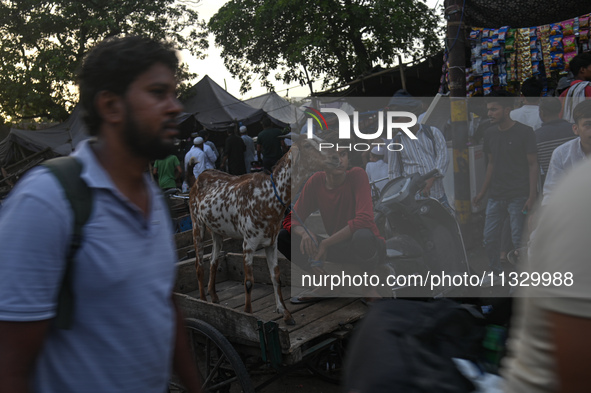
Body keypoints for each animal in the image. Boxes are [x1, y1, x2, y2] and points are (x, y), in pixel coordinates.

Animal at [191, 135, 338, 324]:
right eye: (306, 145)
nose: (336, 157)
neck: (269, 196)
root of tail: (199, 177)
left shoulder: (271, 242)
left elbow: (276, 277)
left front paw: (285, 313)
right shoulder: (248, 243)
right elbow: (248, 281)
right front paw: (248, 314)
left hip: (217, 231)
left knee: (214, 260)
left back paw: (214, 296)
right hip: (197, 224)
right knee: (199, 264)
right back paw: (203, 300)